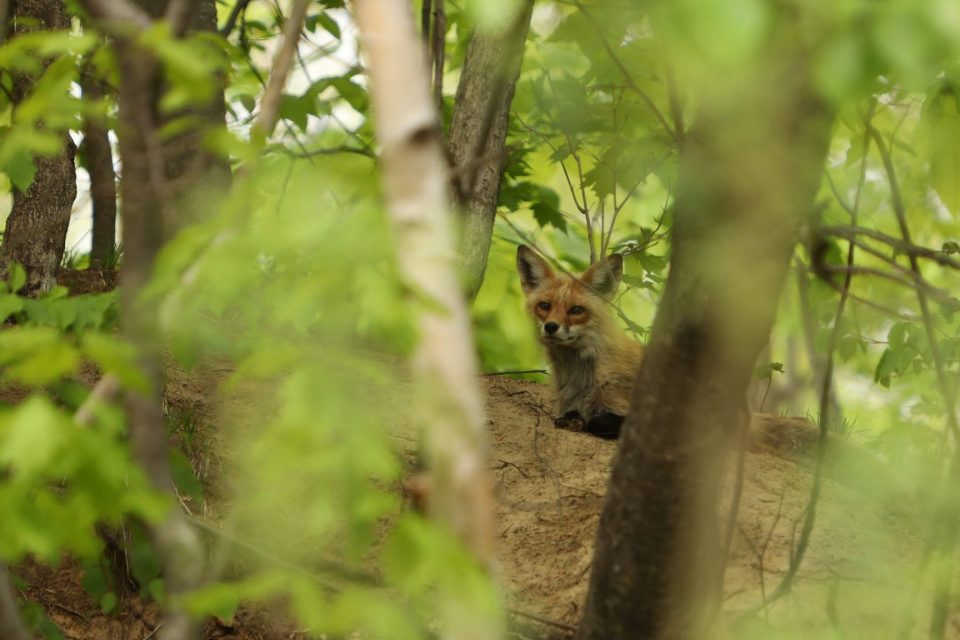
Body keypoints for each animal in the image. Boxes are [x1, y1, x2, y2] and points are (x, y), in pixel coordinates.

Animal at [517, 244, 820, 451]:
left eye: (576, 310)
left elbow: (599, 421)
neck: (580, 377)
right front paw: (573, 419)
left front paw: (586, 422)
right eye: (544, 306)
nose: (551, 327)